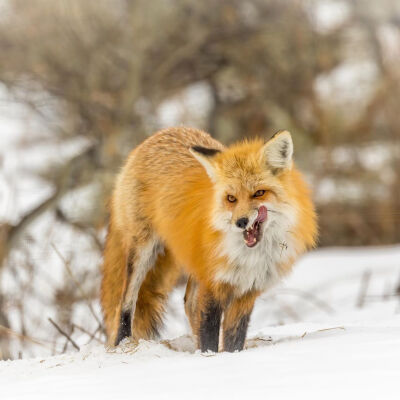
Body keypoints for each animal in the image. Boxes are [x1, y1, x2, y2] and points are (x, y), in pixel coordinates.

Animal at [99, 126, 316, 352]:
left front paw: (225, 355)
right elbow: (209, 333)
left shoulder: (246, 291)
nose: (240, 222)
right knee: (125, 303)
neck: (249, 257)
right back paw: (122, 344)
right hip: (142, 251)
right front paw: (209, 356)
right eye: (231, 198)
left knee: (189, 303)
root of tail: (163, 132)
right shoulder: (212, 284)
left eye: (259, 193)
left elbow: (233, 340)